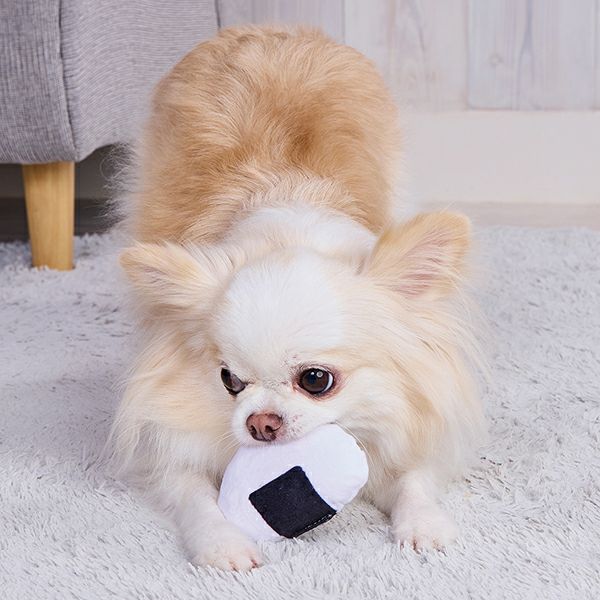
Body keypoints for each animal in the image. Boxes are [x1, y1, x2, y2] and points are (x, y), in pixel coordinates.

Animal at [110, 25, 485, 571]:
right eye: (228, 381)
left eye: (316, 380)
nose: (261, 423)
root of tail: (267, 29)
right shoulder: (170, 452)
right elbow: (195, 497)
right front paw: (222, 543)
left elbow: (415, 479)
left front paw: (424, 524)